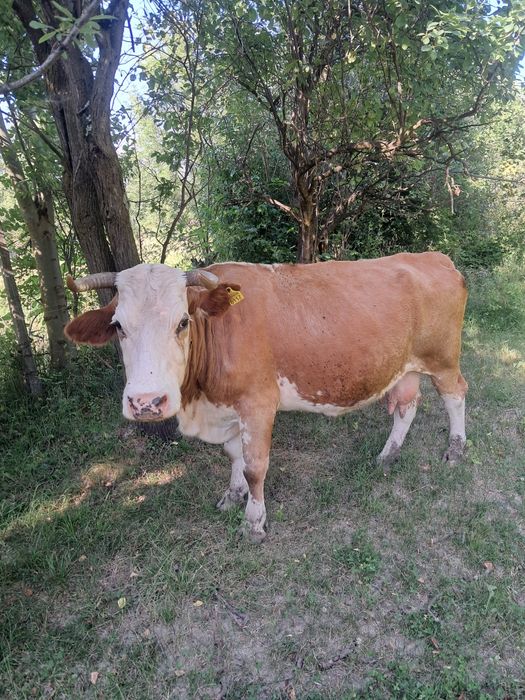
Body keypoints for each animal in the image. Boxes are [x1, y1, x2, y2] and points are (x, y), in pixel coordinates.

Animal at [64, 252, 468, 542]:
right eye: (118, 325)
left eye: (182, 322)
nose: (146, 402)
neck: (202, 401)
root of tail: (433, 257)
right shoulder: (229, 407)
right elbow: (234, 455)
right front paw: (233, 495)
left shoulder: (258, 404)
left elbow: (255, 465)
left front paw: (254, 521)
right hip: (407, 366)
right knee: (406, 406)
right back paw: (388, 454)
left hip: (443, 359)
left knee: (456, 395)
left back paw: (456, 449)